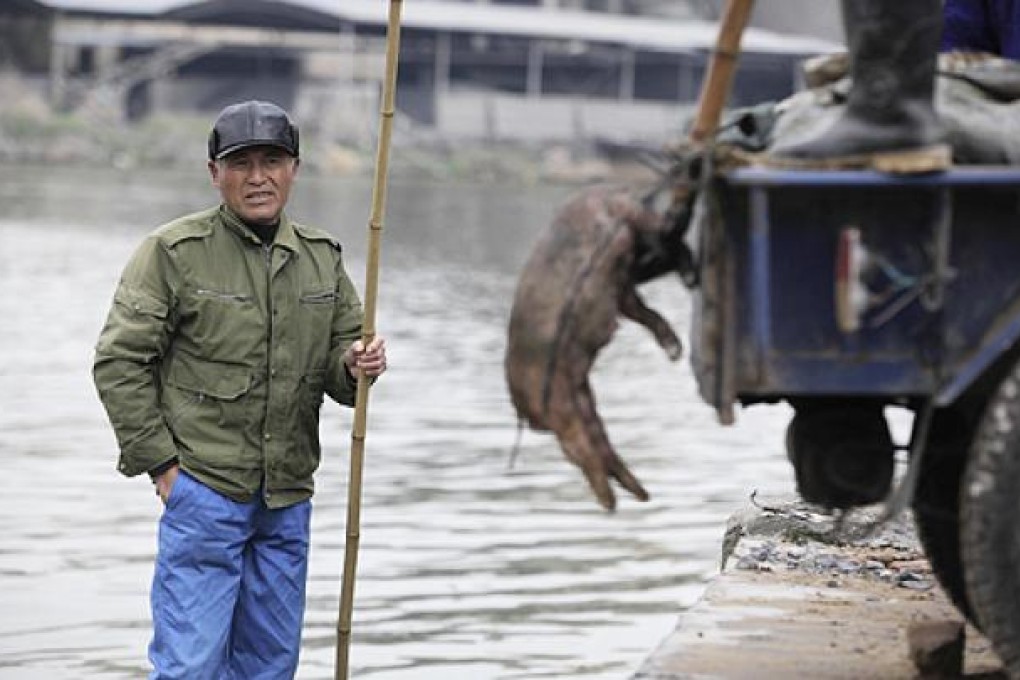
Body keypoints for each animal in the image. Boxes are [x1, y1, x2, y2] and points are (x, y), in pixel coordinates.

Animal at [505, 183, 690, 511]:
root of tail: (520, 407)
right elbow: (639, 306)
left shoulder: (622, 283)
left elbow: (641, 309)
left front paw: (675, 349)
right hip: (564, 408)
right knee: (583, 451)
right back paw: (612, 502)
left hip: (580, 401)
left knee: (599, 446)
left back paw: (637, 496)